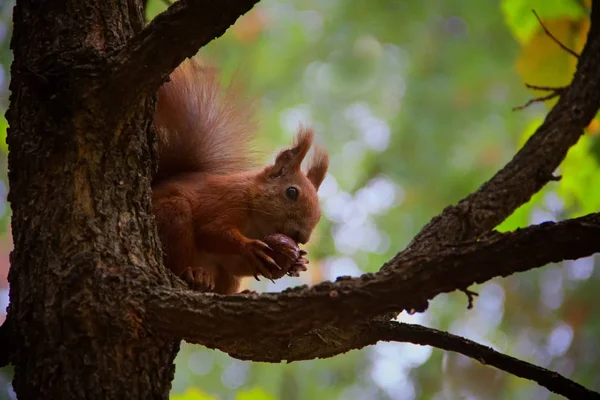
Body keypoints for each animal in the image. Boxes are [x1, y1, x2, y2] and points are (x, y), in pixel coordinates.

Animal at [149, 60, 328, 296]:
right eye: (291, 192)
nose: (302, 238)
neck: (257, 224)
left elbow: (236, 264)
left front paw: (297, 263)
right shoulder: (226, 200)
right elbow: (210, 231)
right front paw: (248, 246)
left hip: (226, 277)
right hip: (172, 213)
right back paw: (195, 273)